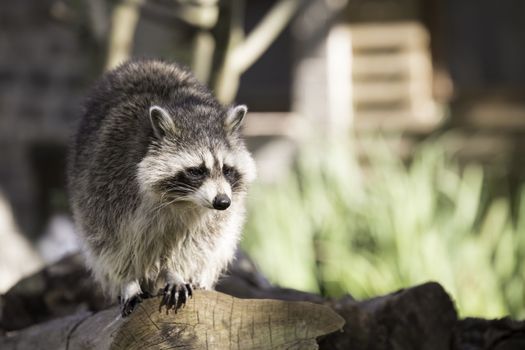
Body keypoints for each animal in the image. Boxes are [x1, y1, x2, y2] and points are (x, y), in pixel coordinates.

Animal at [67, 58, 256, 316]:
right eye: (197, 170)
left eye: (227, 169)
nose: (222, 202)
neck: (183, 200)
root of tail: (146, 62)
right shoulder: (105, 185)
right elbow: (110, 243)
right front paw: (128, 281)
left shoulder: (211, 216)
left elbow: (196, 243)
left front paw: (175, 272)